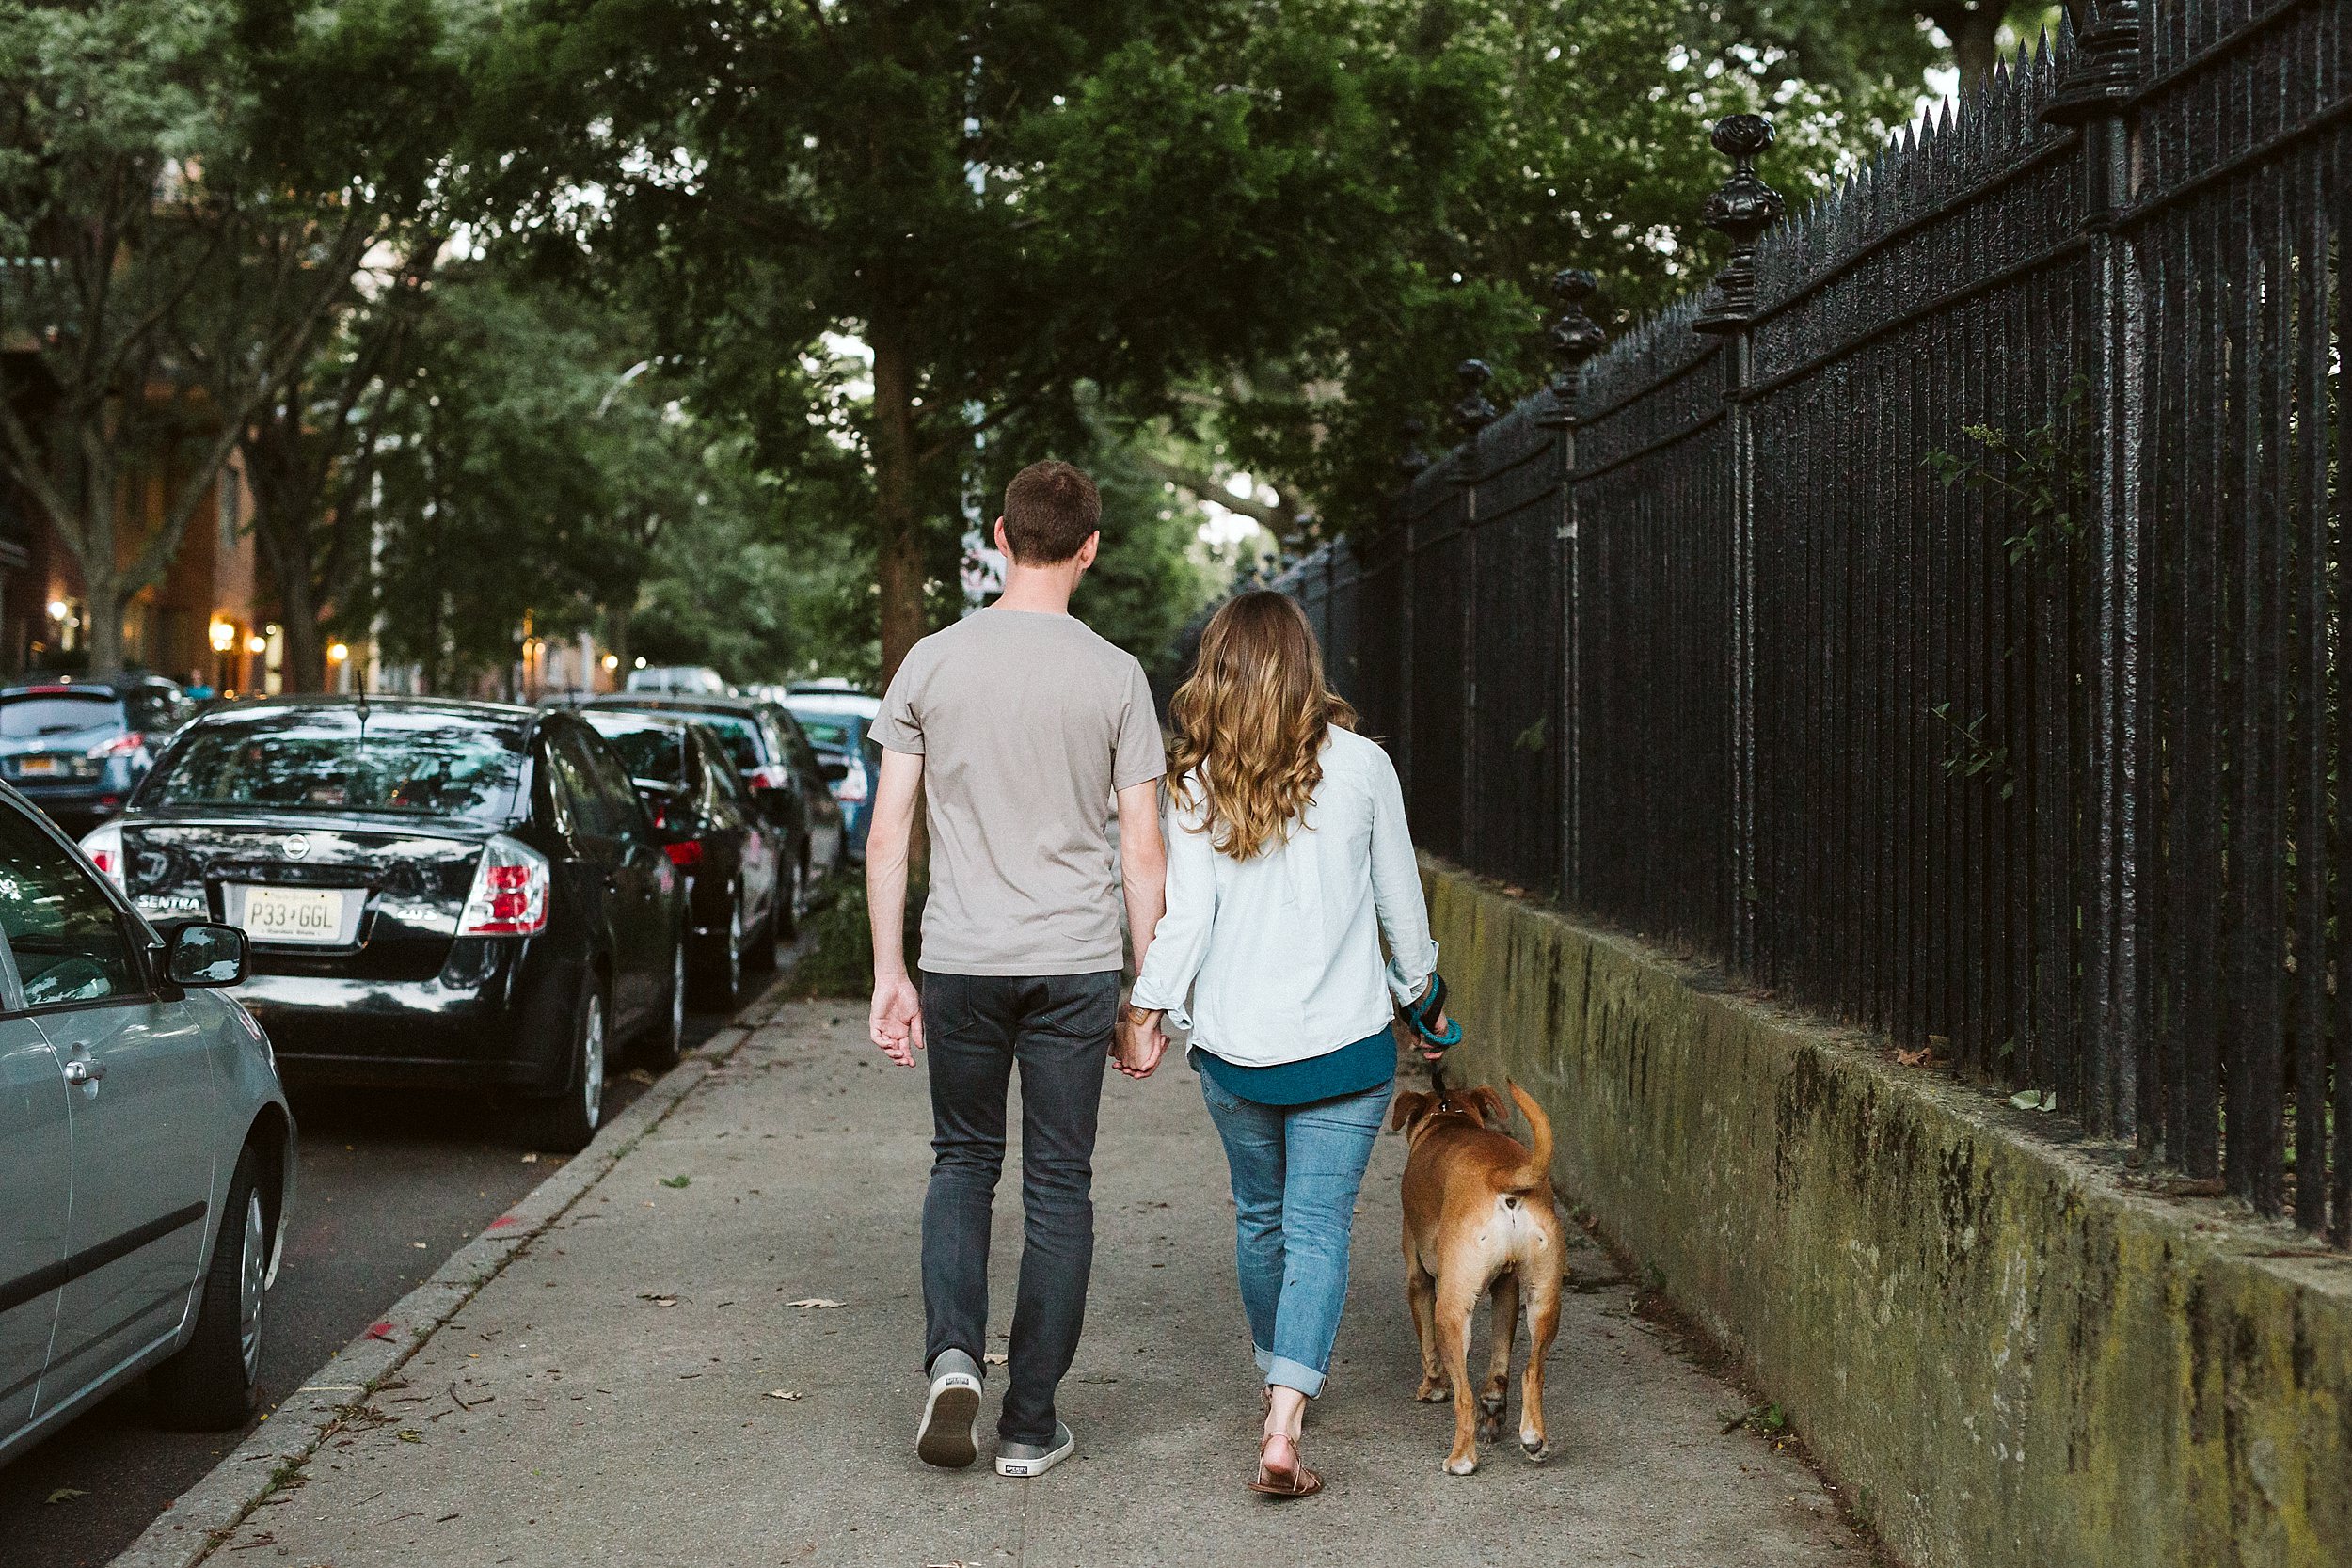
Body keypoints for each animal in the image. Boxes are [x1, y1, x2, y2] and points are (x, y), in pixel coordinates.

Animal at [1392, 1081, 1562, 1476]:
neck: (1449, 1117)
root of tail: (1502, 1174)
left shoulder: (1418, 1281)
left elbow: (1428, 1347)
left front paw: (1432, 1387)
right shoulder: (1507, 1290)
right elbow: (1502, 1360)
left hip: (1452, 1311)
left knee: (1465, 1397)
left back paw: (1461, 1459)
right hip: (1544, 1300)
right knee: (1531, 1371)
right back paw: (1531, 1437)